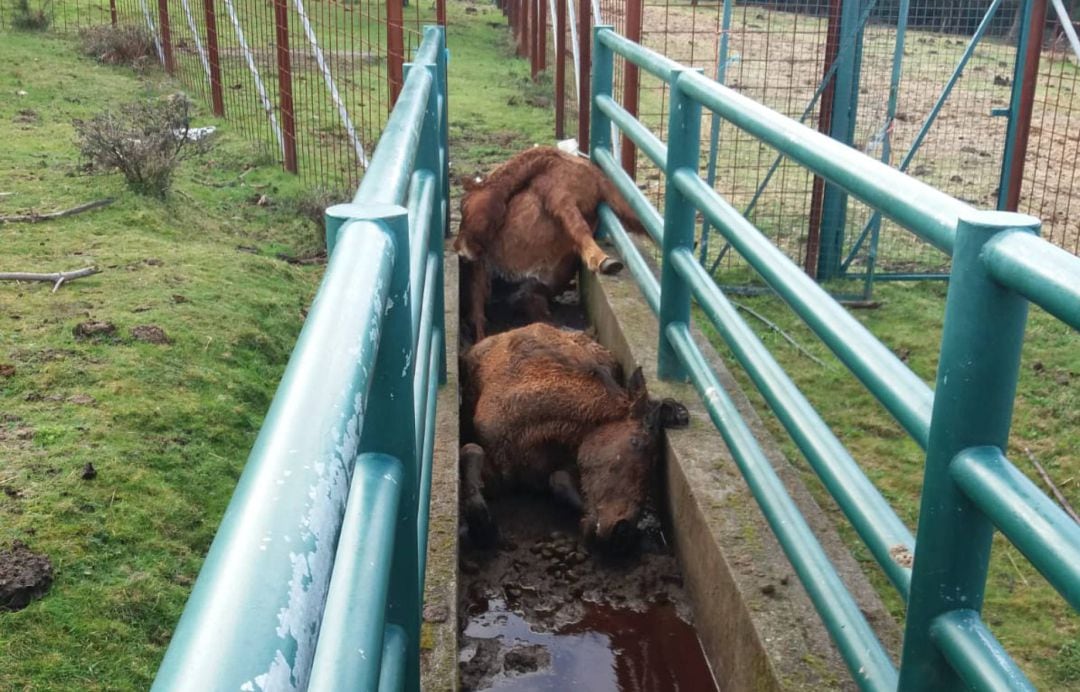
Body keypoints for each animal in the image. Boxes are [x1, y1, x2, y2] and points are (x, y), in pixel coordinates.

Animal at [453, 146, 639, 341]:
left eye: (463, 205)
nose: (460, 250)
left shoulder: (585, 194)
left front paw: (605, 261)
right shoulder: (560, 197)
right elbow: (579, 227)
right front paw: (604, 261)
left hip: (525, 293)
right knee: (479, 320)